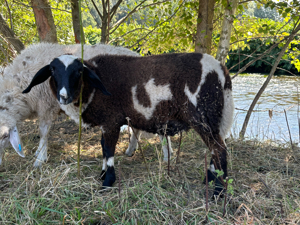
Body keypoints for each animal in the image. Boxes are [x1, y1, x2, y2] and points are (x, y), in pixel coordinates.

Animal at [23, 52, 234, 195]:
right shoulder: (106, 123)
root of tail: (221, 71)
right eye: (52, 70)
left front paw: (107, 182)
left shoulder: (111, 120)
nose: (64, 95)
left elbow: (109, 149)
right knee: (215, 149)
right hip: (212, 118)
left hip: (203, 115)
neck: (93, 88)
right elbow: (103, 148)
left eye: (79, 71)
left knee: (219, 149)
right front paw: (103, 174)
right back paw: (210, 179)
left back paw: (218, 191)